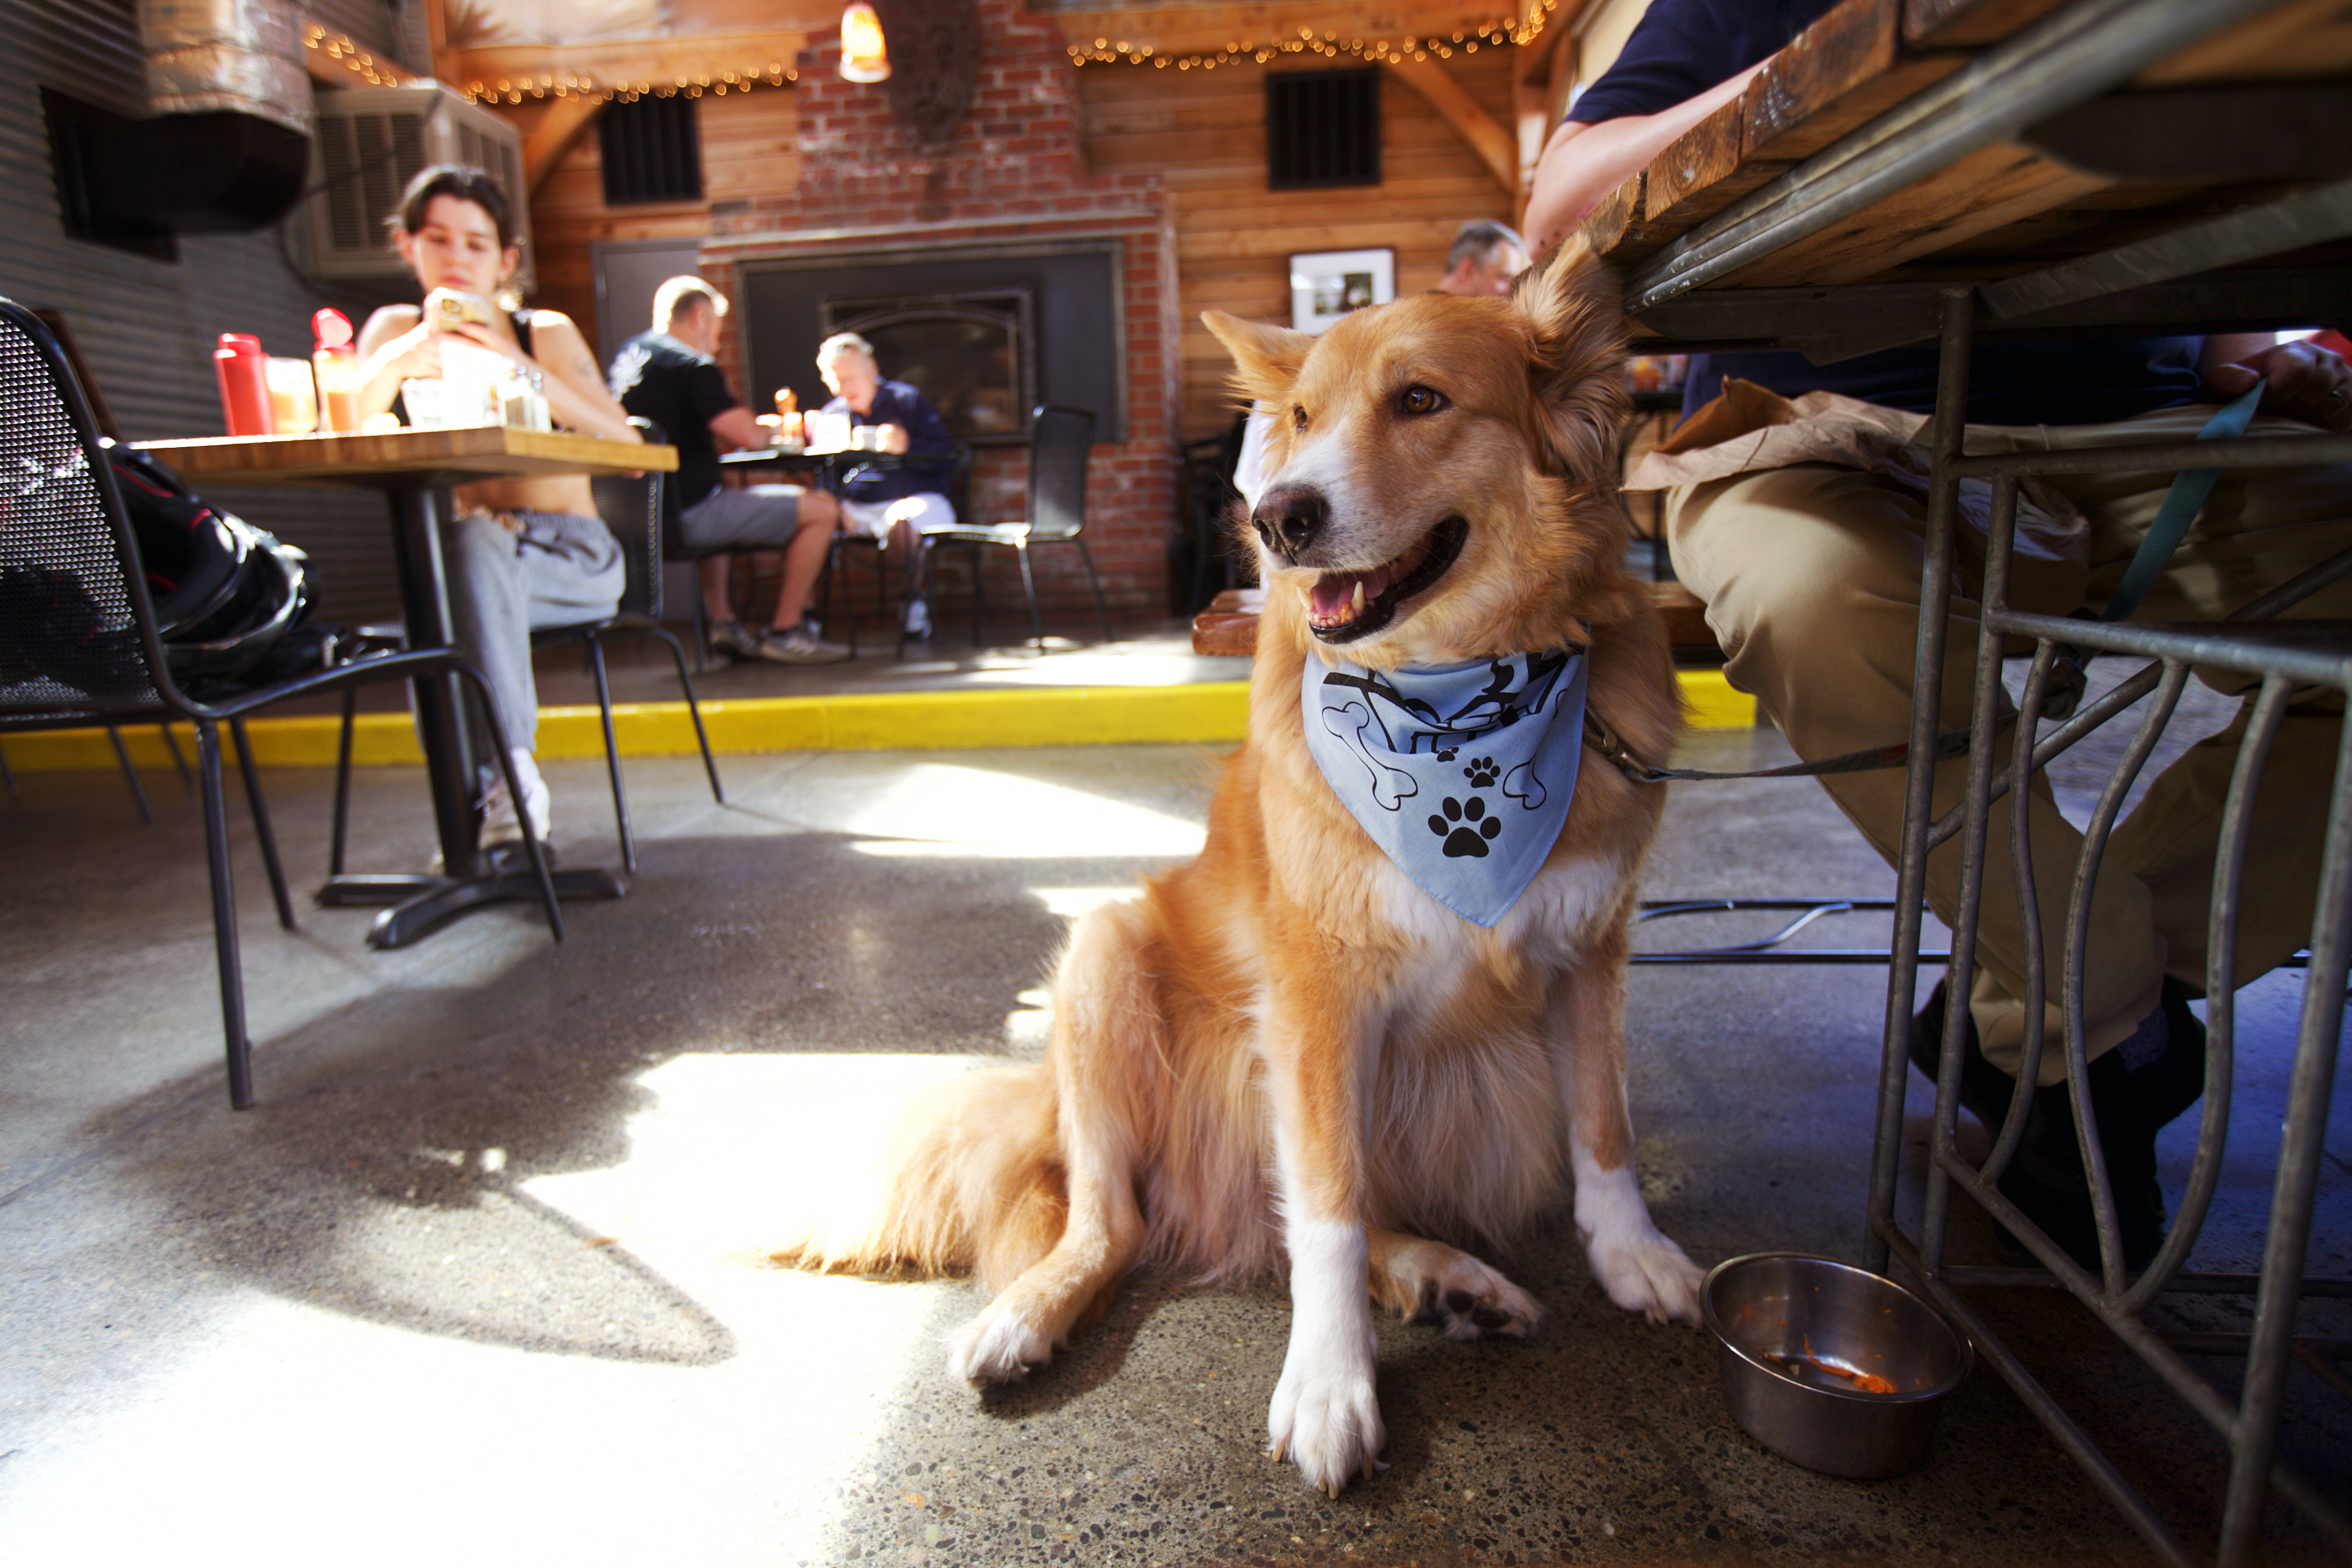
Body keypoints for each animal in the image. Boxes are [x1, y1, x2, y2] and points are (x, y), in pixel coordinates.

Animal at [780, 242, 1703, 1495]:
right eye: (1301, 416)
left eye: (1422, 399)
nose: (1278, 517)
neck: (1459, 696)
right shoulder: (1315, 997)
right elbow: (1326, 1208)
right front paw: (1328, 1383)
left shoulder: (1587, 948)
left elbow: (1603, 1128)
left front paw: (1632, 1253)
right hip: (1105, 955)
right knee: (1125, 1223)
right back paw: (1028, 1315)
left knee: (1278, 1217)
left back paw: (1450, 1279)